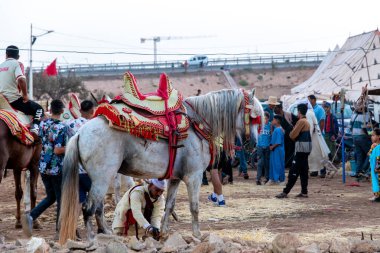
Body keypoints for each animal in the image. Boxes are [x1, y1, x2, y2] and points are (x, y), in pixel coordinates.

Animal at [58, 88, 264, 243]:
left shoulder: (175, 178)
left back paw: (107, 234)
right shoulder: (194, 176)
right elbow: (194, 206)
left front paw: (164, 233)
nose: (254, 143)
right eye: (254, 116)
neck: (197, 125)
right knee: (89, 208)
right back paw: (92, 239)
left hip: (102, 178)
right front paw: (197, 235)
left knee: (98, 208)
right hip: (102, 177)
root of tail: (80, 133)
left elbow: (170, 206)